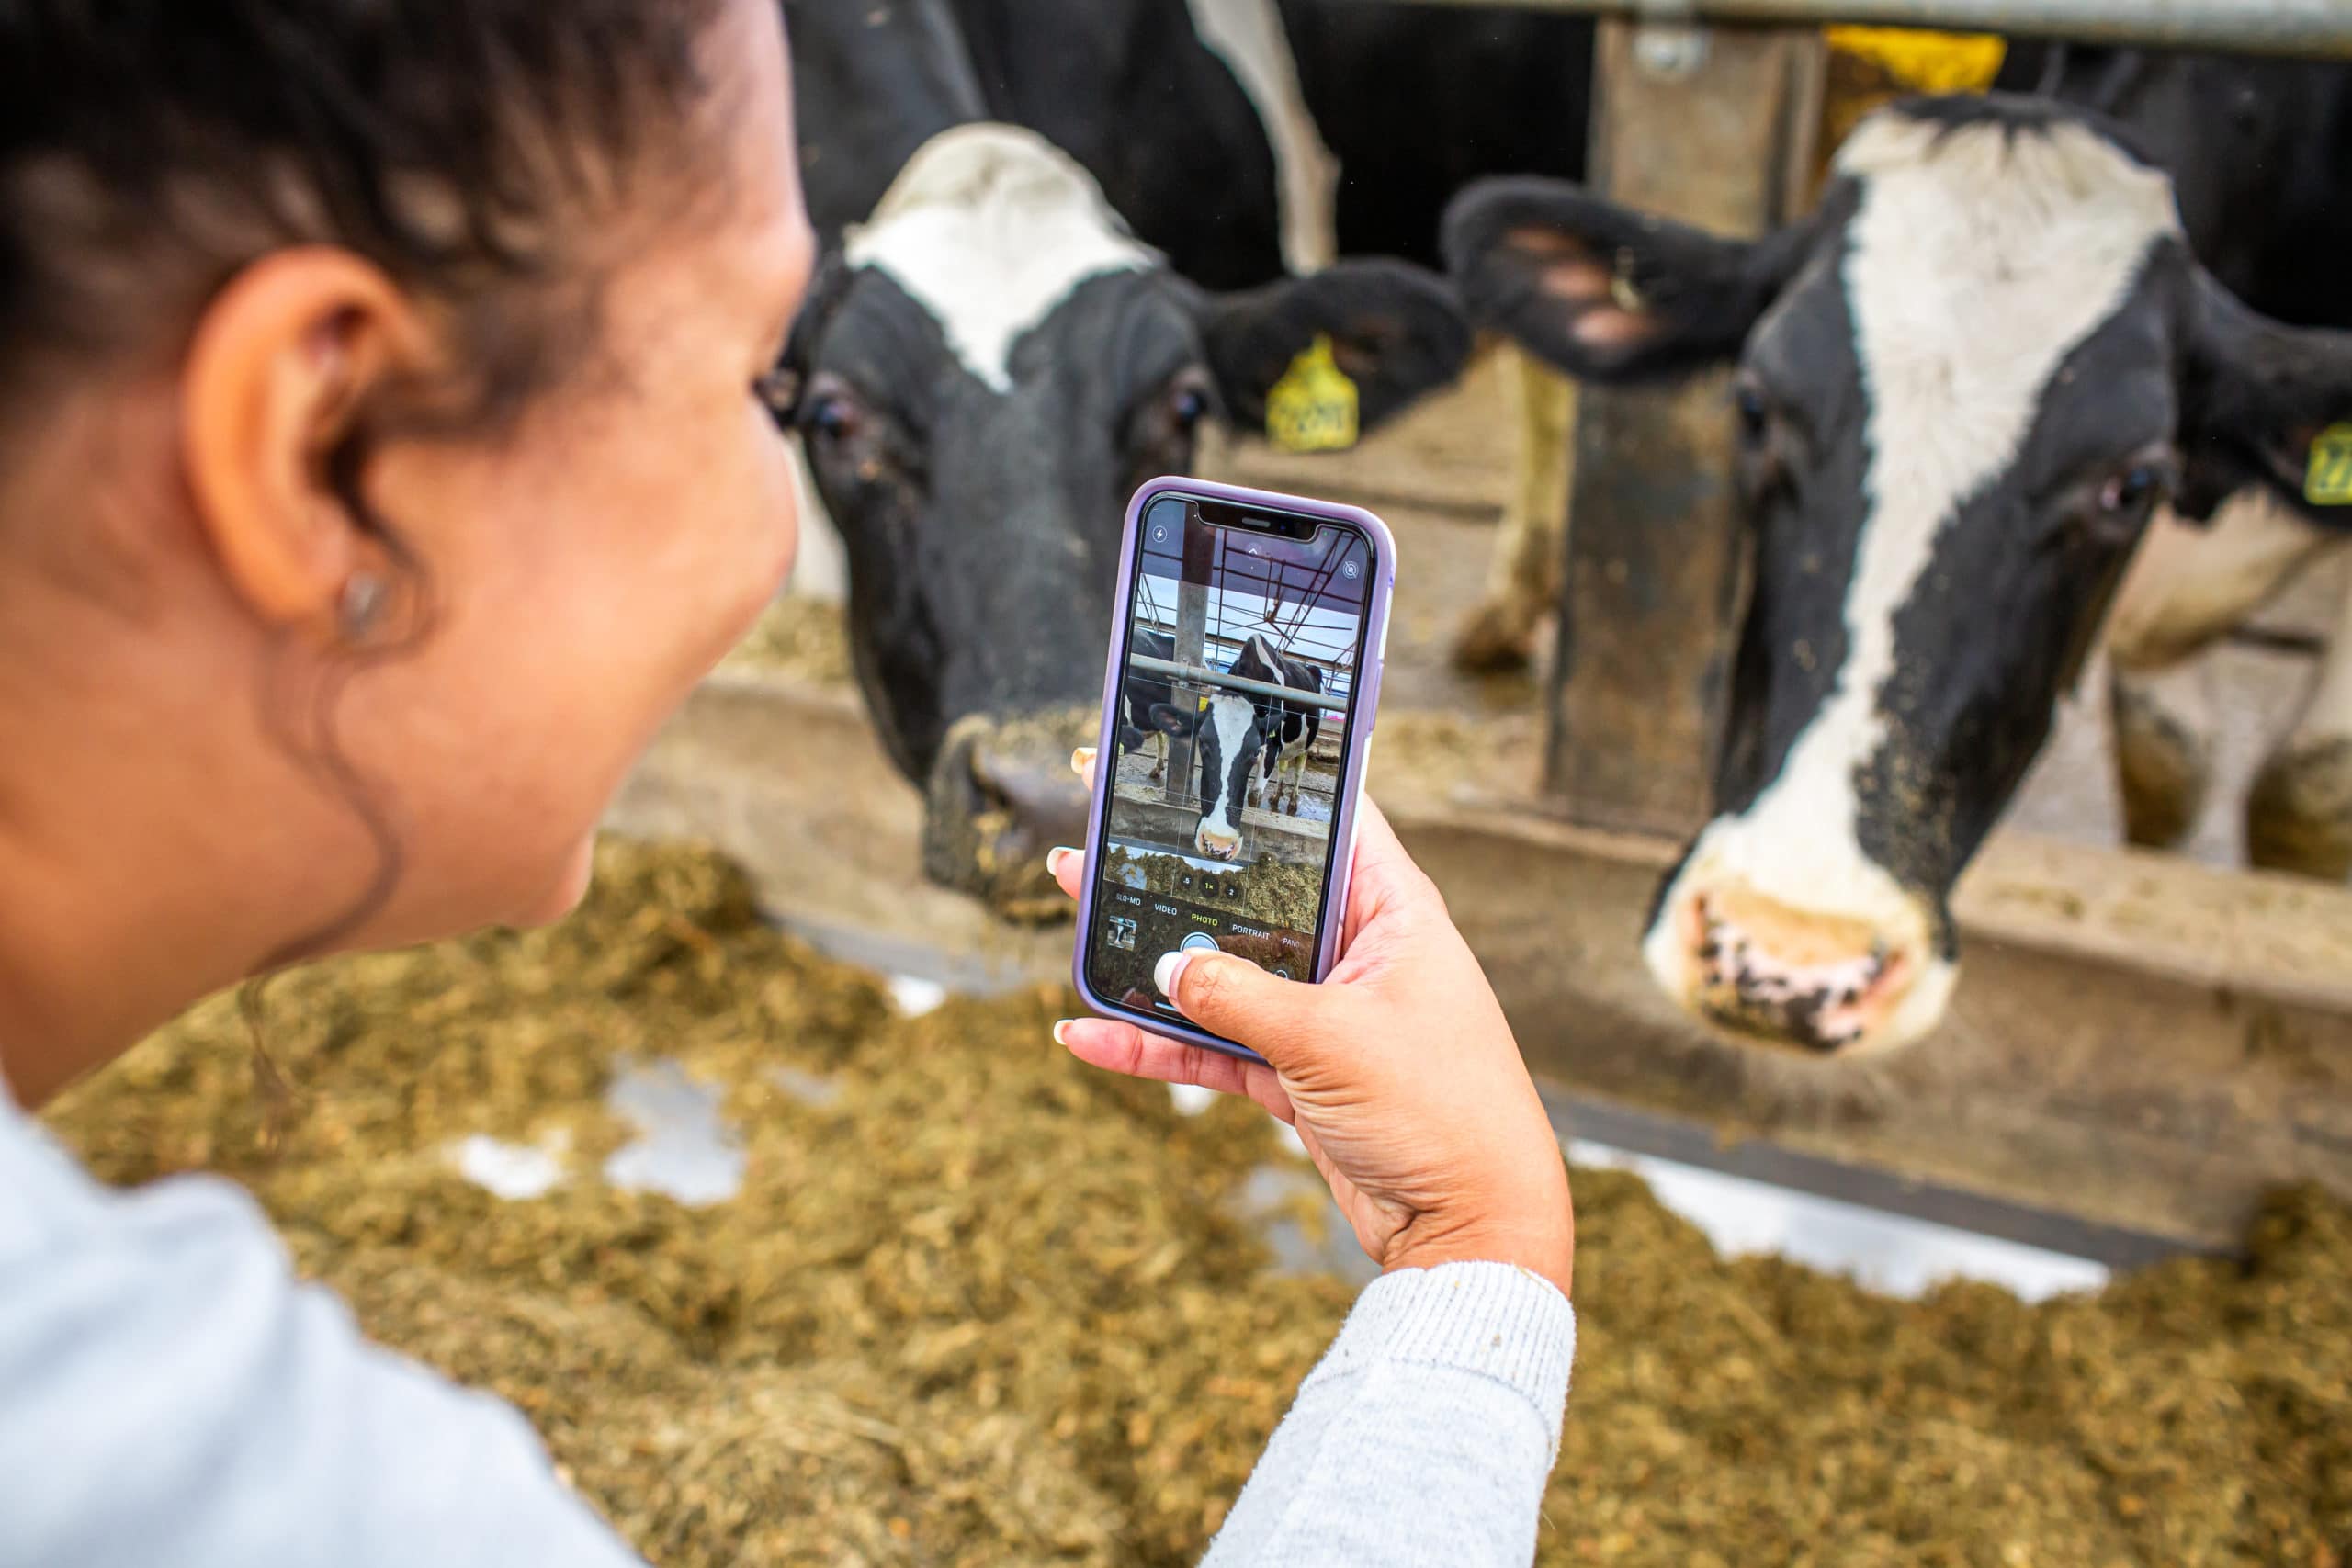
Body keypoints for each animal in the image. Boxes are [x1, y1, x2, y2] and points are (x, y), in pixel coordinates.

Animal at [1152, 629, 1326, 860]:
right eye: (1202, 741)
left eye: (1254, 751)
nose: (1218, 843)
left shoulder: (1272, 748)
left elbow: (1253, 796)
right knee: (1284, 767)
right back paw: (1276, 797)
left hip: (1306, 745)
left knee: (1298, 771)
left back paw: (1292, 803)